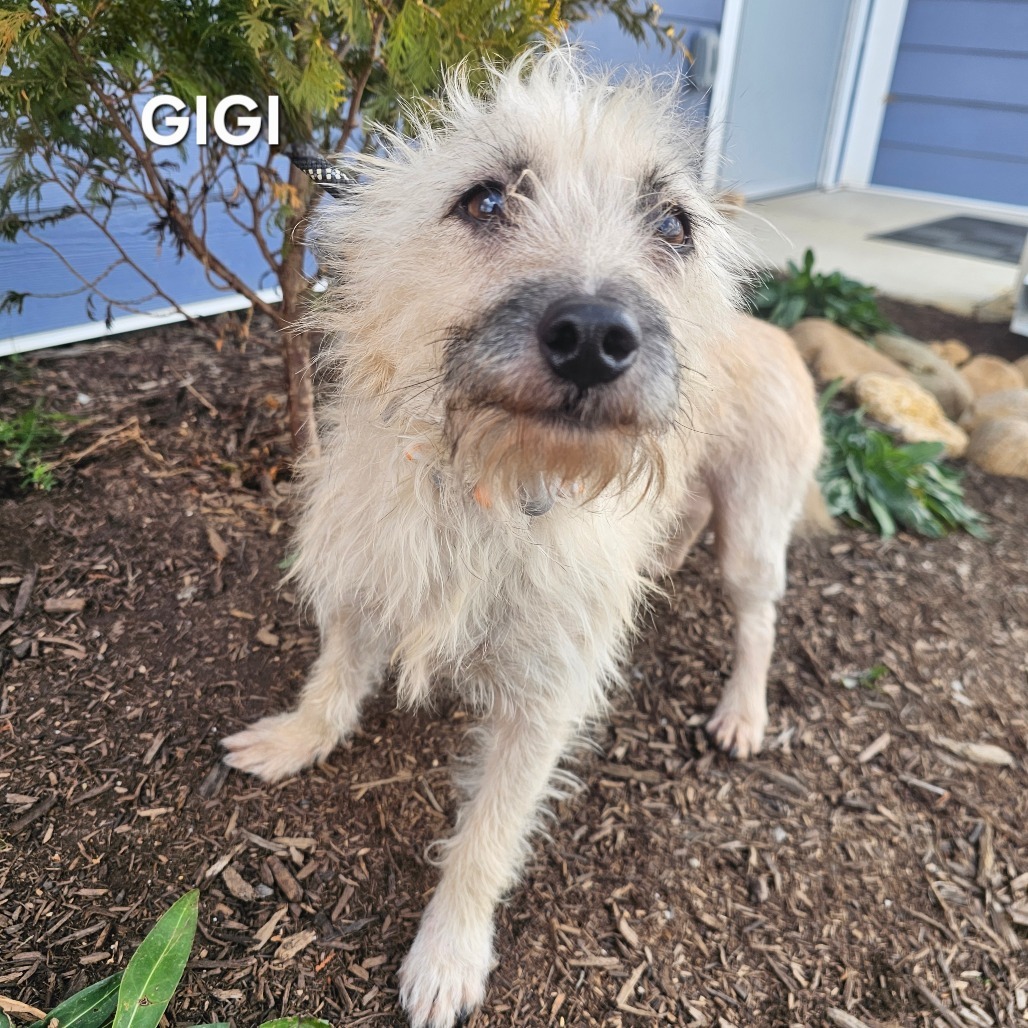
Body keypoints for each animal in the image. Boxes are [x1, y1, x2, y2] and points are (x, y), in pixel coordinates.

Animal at [221, 50, 822, 1028]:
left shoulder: (544, 702)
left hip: (755, 530)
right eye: (486, 199)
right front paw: (297, 738)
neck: (490, 484)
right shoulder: (366, 569)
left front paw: (447, 955)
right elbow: (337, 674)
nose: (595, 336)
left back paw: (743, 710)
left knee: (757, 618)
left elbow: (487, 837)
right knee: (683, 518)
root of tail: (771, 331)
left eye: (673, 224)